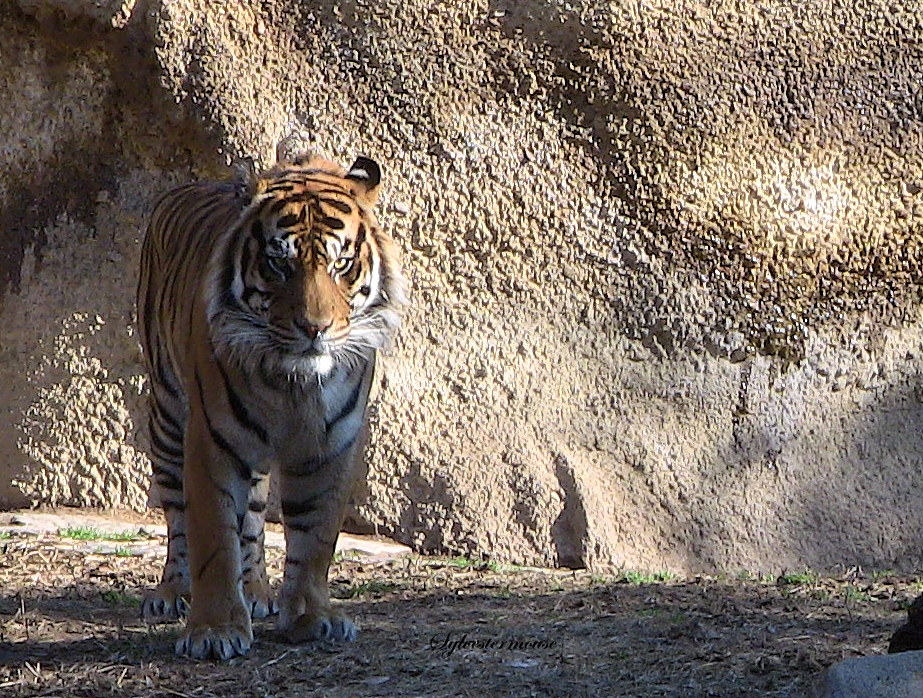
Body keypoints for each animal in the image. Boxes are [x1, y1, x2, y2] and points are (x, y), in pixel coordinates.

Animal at [138, 148, 408, 656]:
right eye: (278, 264)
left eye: (342, 264)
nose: (315, 328)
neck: (295, 385)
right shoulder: (214, 441)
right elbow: (213, 536)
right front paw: (215, 631)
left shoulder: (332, 443)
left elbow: (315, 537)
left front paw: (310, 617)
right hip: (167, 417)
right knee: (178, 517)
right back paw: (172, 593)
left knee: (255, 518)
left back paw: (258, 591)